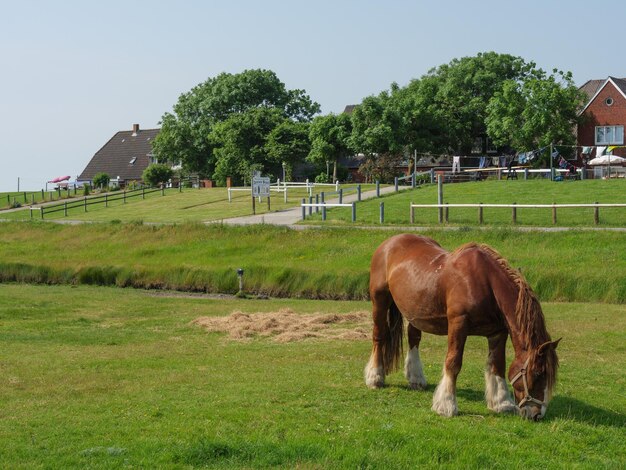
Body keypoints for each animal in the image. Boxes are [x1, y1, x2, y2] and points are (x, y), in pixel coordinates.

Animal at [364, 233, 560, 420]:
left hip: (415, 312)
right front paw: (446, 405)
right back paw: (375, 378)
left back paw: (416, 379)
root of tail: (388, 243)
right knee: (378, 336)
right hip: (380, 301)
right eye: (538, 373)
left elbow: (497, 365)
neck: (486, 283)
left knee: (414, 339)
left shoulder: (498, 332)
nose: (536, 414)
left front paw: (502, 403)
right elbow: (453, 362)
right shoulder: (458, 324)